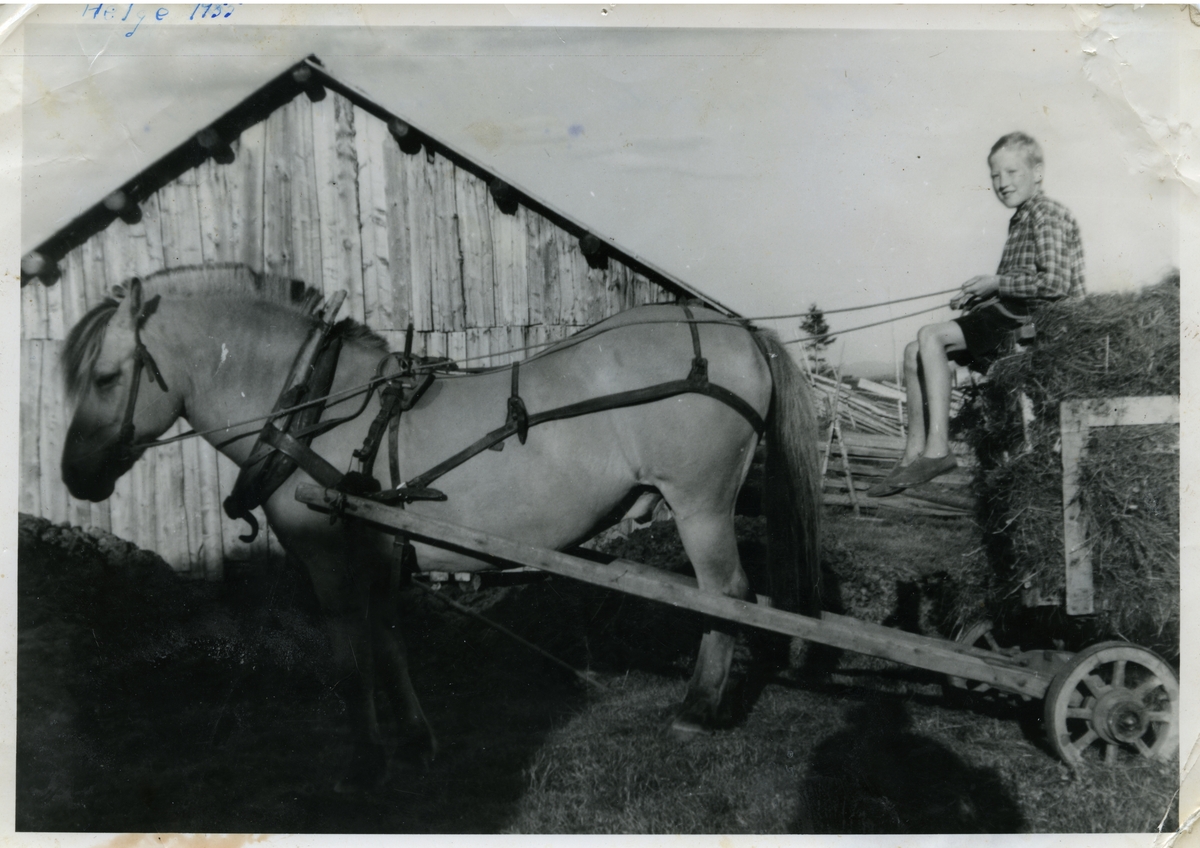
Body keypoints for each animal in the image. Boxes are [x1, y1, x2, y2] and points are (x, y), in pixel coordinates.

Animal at [58, 265, 825, 791]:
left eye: (107, 377)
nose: (74, 477)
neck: (316, 407)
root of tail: (741, 331)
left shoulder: (331, 561)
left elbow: (351, 660)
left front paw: (366, 759)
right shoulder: (374, 554)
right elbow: (390, 644)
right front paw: (416, 741)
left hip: (700, 505)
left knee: (726, 596)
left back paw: (698, 708)